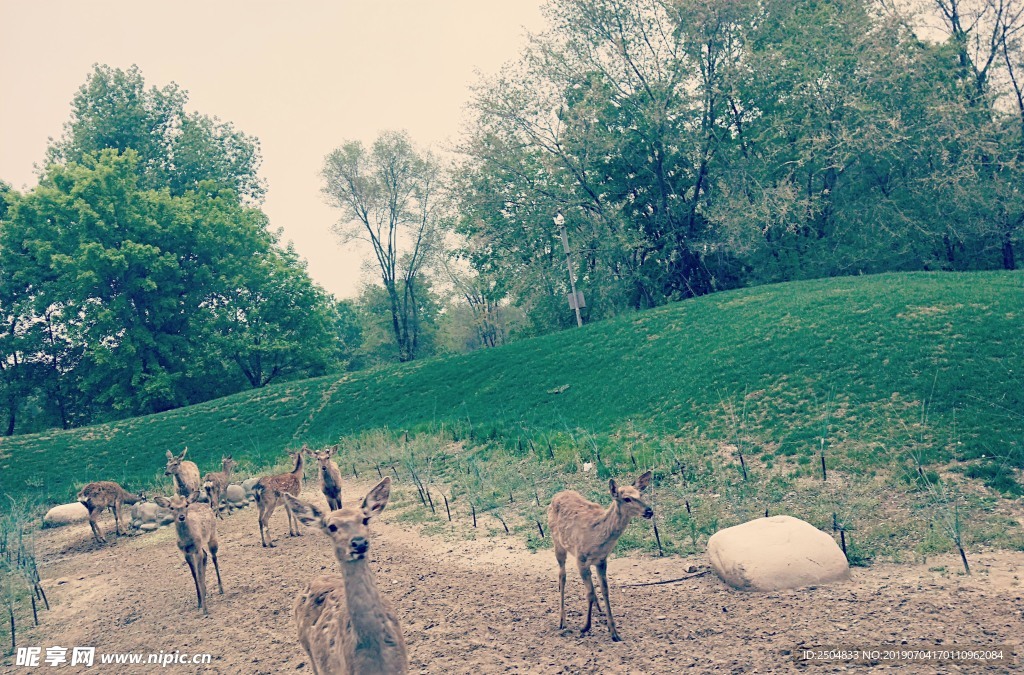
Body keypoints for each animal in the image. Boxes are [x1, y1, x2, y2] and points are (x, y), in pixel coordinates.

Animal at [547, 470, 653, 642]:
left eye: (641, 494)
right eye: (627, 498)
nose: (649, 511)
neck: (597, 536)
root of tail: (557, 495)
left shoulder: (602, 560)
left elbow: (605, 590)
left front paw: (614, 632)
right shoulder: (581, 559)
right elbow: (589, 593)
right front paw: (585, 627)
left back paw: (598, 609)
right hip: (557, 542)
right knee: (562, 576)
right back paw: (562, 621)